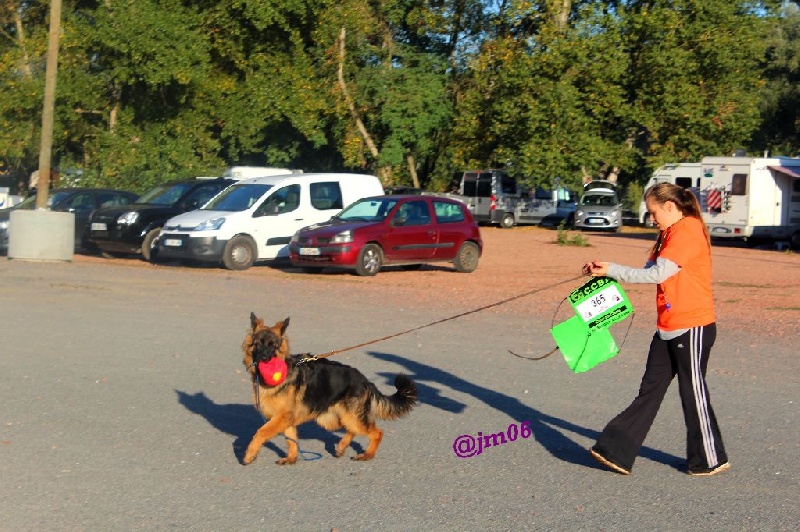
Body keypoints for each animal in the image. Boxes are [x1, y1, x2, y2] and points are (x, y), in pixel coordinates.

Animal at [242, 314, 418, 464]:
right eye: (258, 344)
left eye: (273, 346)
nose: (264, 359)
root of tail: (366, 381)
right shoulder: (286, 419)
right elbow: (291, 440)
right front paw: (291, 458)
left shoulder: (282, 417)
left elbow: (261, 432)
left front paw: (250, 454)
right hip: (334, 419)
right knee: (352, 430)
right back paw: (341, 447)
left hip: (349, 417)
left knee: (376, 433)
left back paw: (367, 454)